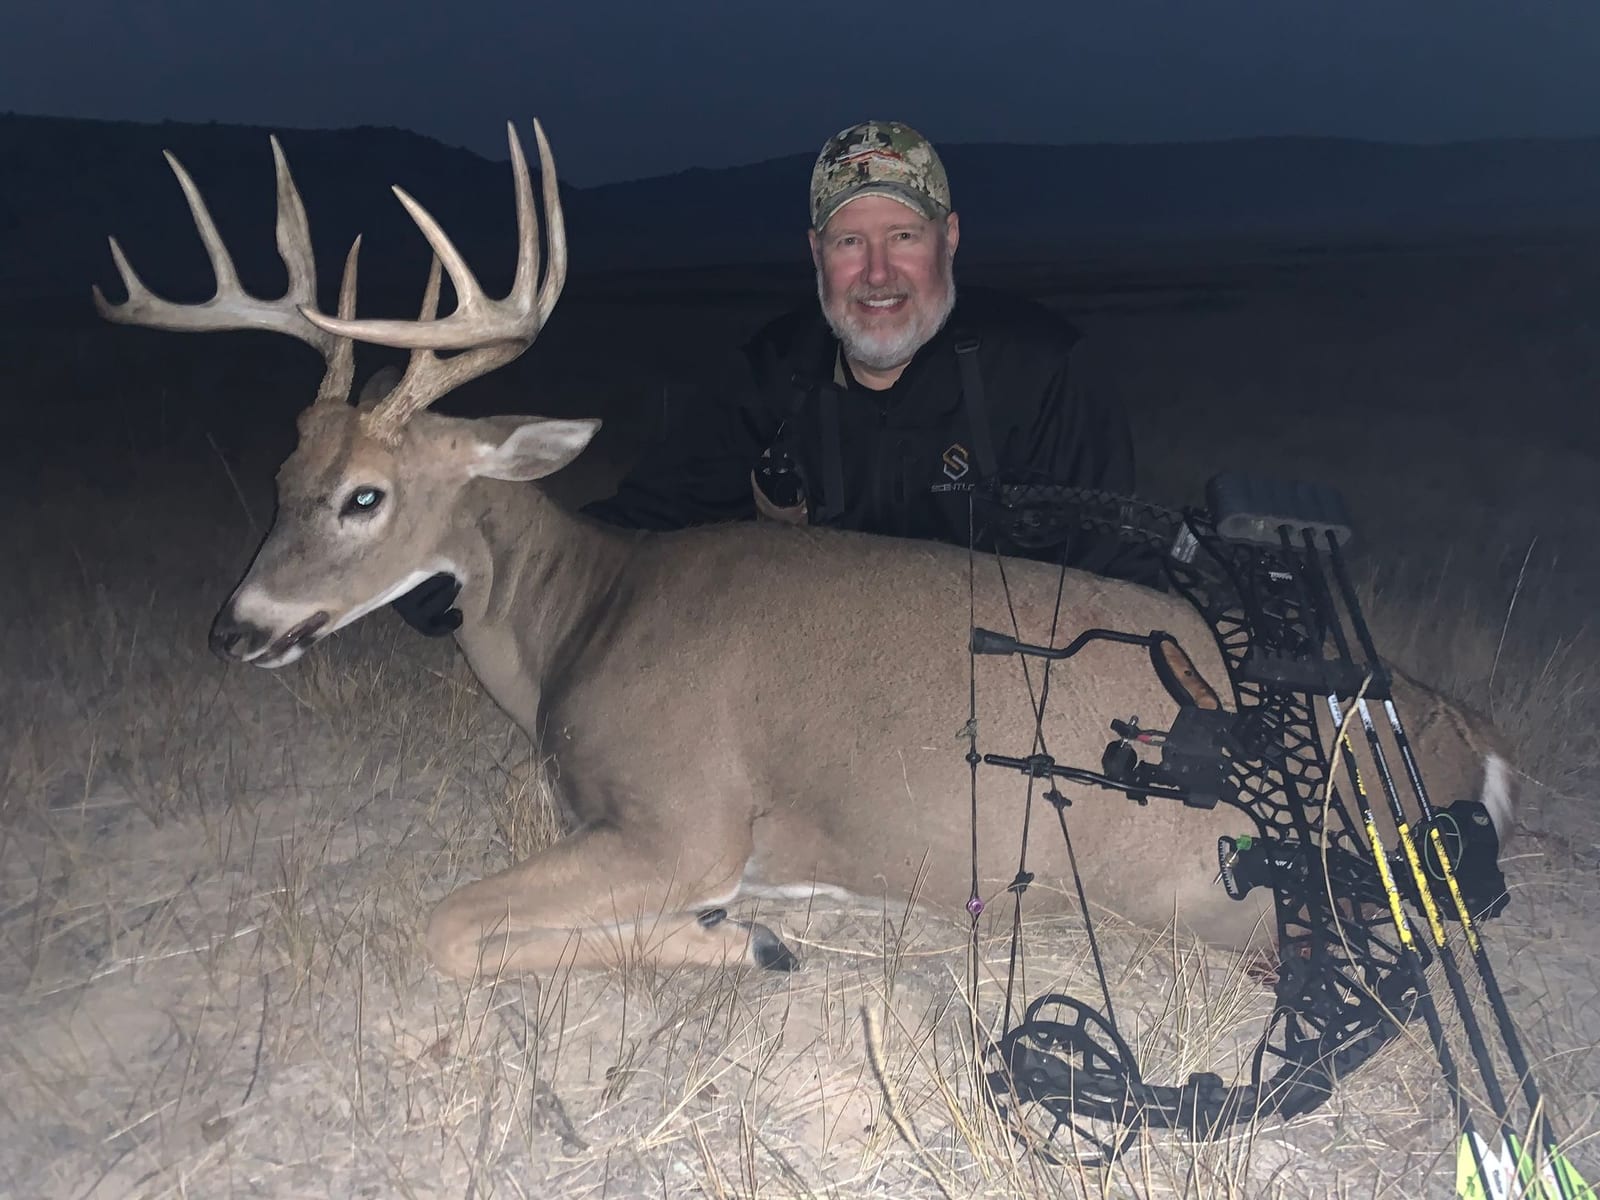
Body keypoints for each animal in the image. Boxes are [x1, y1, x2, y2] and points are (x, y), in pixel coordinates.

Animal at [94, 121, 1517, 982]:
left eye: (367, 497)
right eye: (284, 475)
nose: (233, 625)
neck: (580, 621)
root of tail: (1471, 751)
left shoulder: (684, 816)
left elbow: (448, 926)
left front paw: (748, 943)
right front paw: (751, 938)